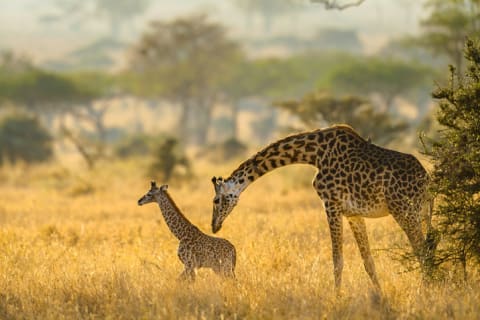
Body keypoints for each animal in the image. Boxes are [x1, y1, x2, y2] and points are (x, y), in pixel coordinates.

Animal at [210, 124, 432, 290]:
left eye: (216, 200)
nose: (214, 226)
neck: (314, 154)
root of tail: (427, 181)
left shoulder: (331, 204)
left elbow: (337, 260)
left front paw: (337, 298)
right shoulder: (353, 213)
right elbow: (368, 260)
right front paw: (380, 295)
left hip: (404, 211)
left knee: (422, 250)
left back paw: (425, 289)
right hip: (421, 214)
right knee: (429, 246)